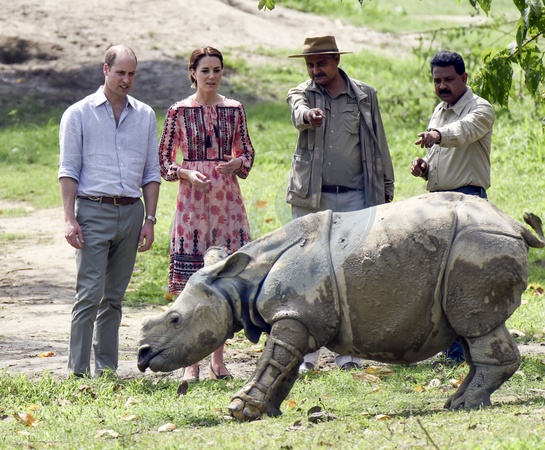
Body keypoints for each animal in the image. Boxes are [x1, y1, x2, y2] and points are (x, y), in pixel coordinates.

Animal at [137, 192, 544, 421]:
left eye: (175, 319)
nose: (142, 355)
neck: (238, 280)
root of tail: (513, 224)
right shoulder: (298, 316)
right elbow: (283, 366)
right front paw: (267, 411)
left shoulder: (294, 315)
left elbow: (272, 361)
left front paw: (239, 410)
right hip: (474, 250)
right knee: (470, 330)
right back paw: (456, 401)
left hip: (479, 244)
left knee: (476, 326)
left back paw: (465, 406)